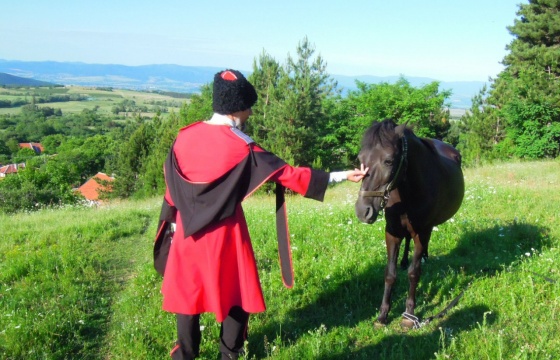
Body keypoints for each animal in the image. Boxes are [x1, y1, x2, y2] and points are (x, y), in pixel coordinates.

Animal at [354, 119, 464, 328]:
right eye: (360, 159)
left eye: (389, 161)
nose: (363, 211)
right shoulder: (392, 232)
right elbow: (390, 274)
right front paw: (382, 315)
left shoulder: (422, 232)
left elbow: (414, 273)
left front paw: (408, 314)